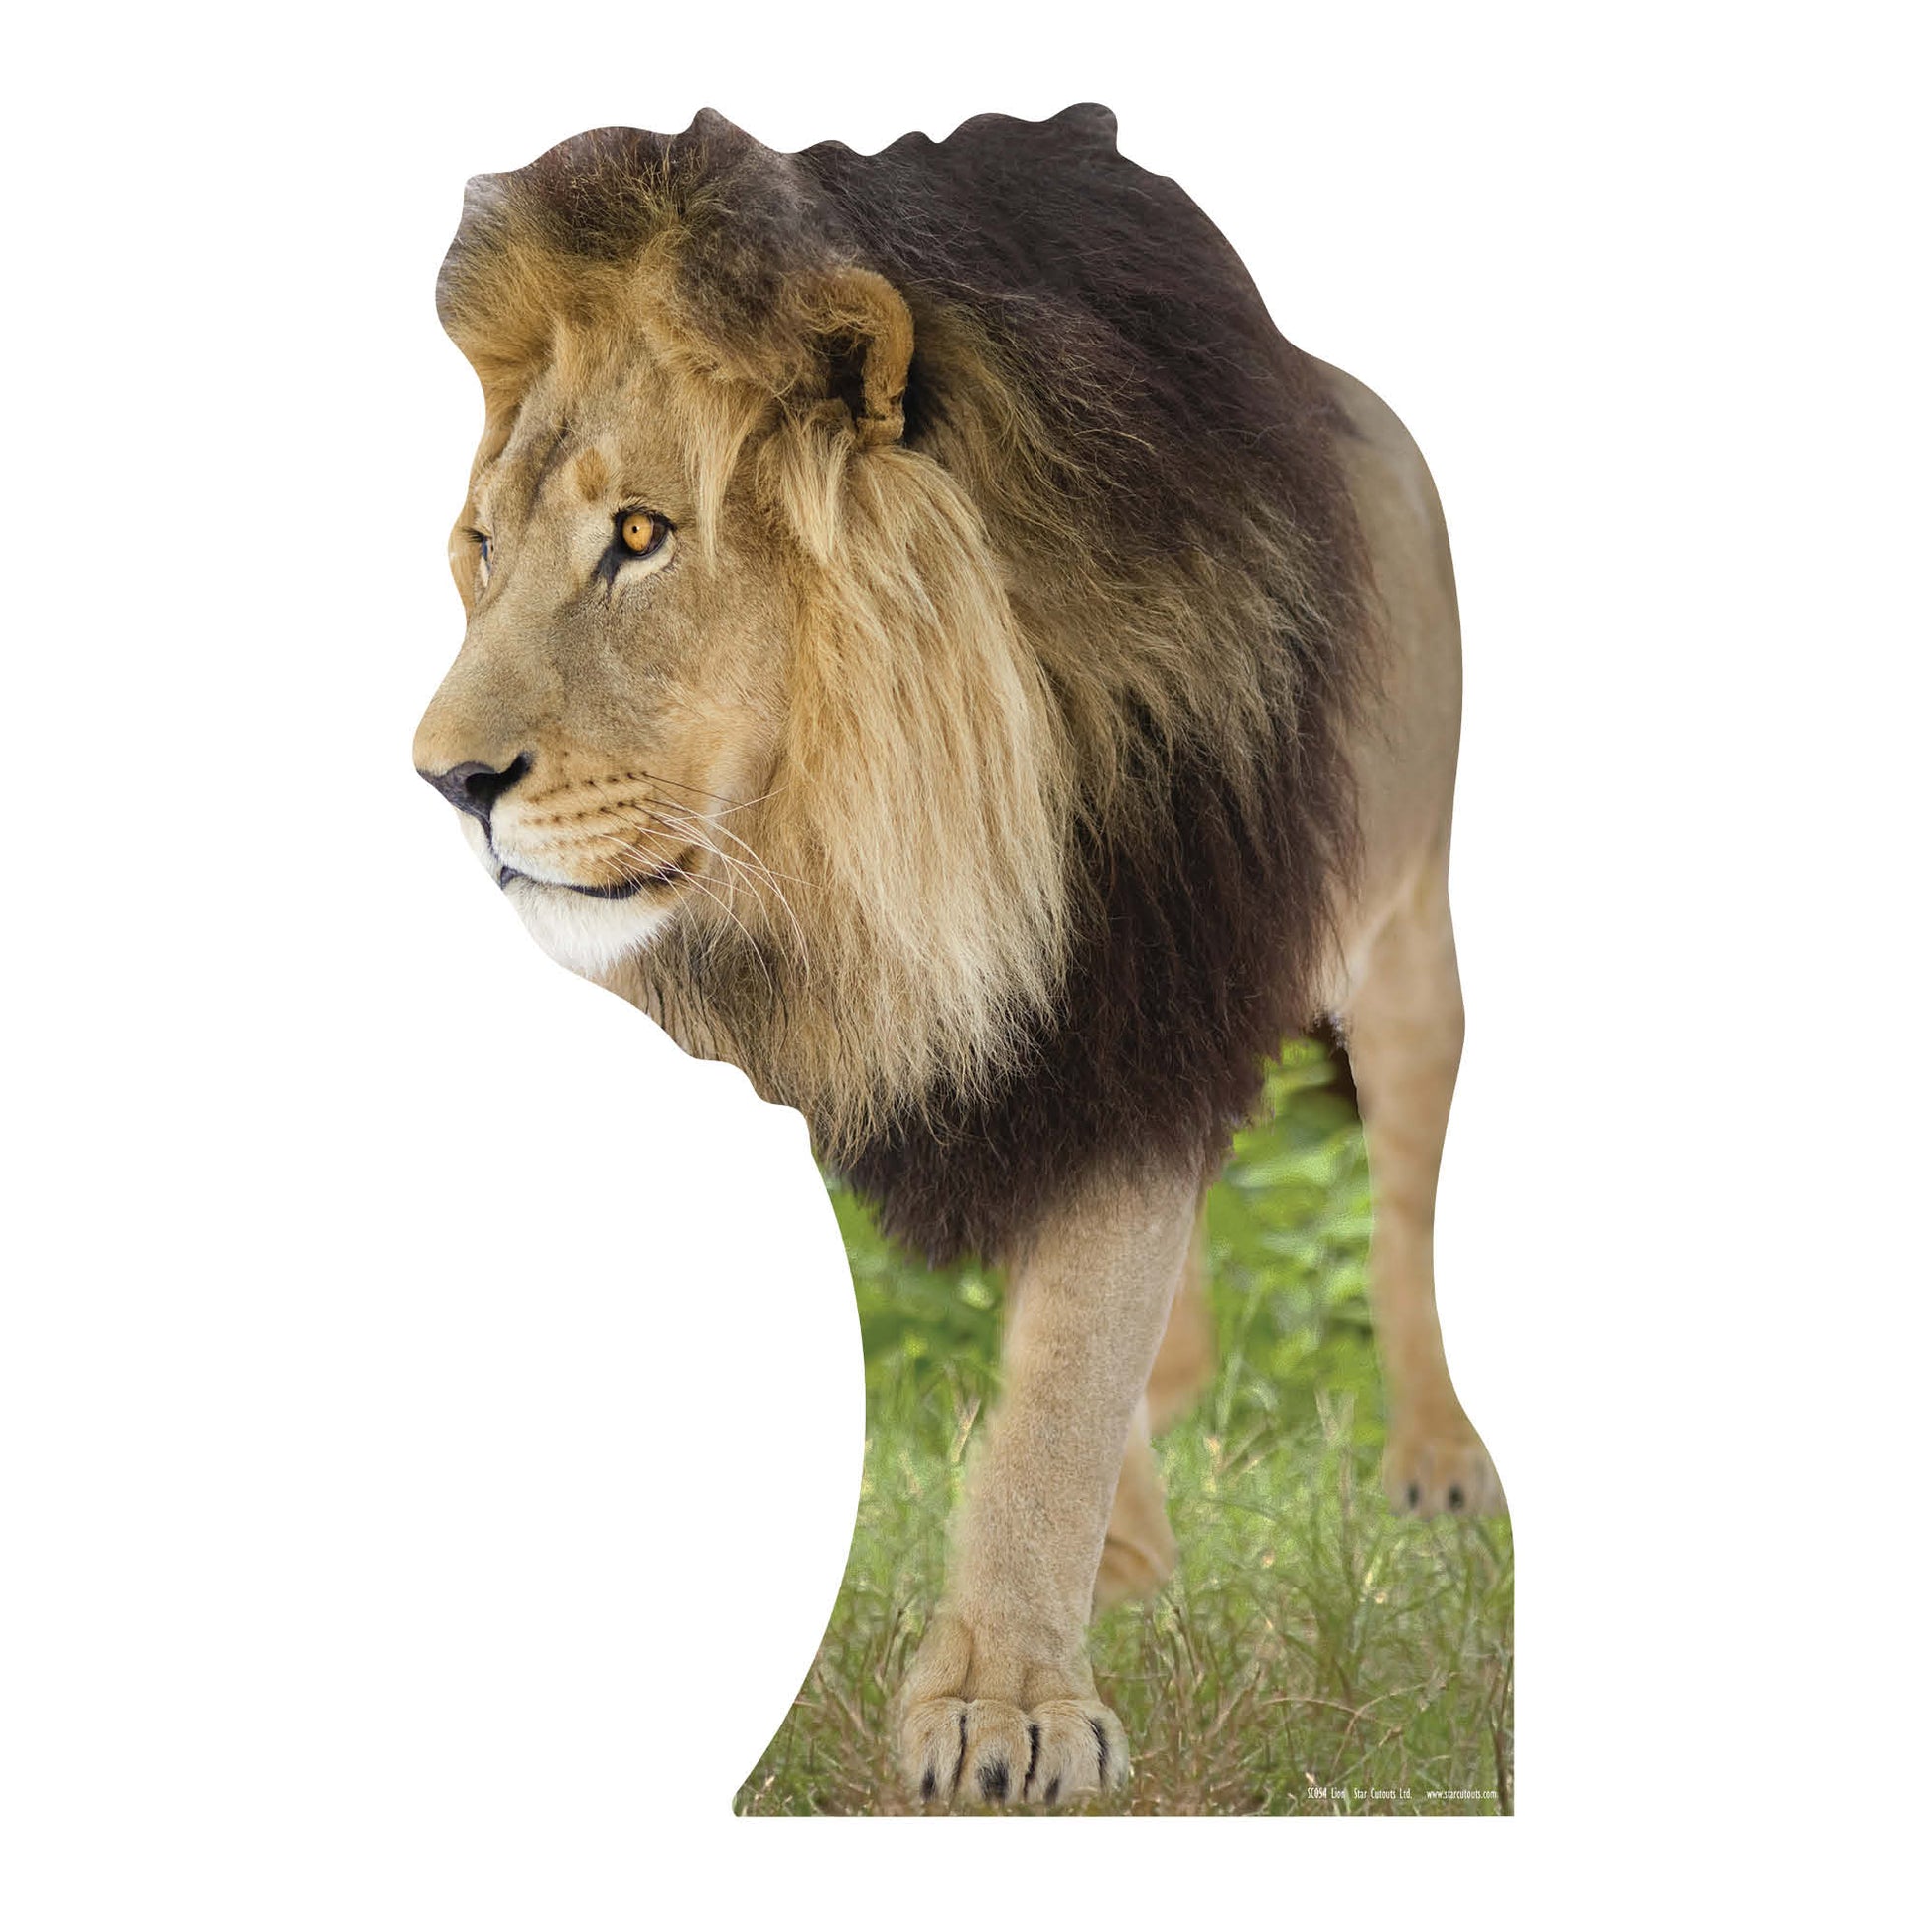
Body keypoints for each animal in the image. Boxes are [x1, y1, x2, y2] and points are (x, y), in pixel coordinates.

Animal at [413, 106, 1504, 1809]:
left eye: (640, 536)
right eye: (480, 545)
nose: (445, 781)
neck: (870, 861)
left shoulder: (1145, 964)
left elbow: (1062, 1371)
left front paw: (1003, 1703)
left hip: (1406, 932)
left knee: (1402, 1188)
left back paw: (1437, 1460)